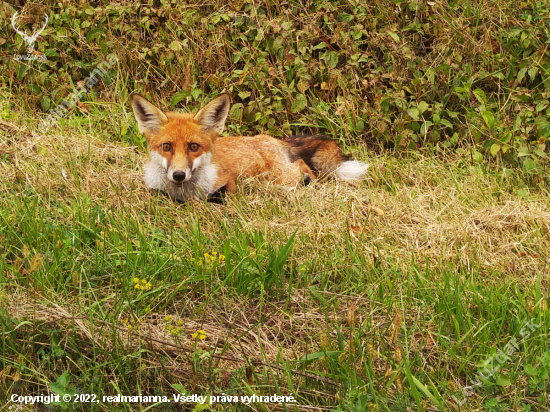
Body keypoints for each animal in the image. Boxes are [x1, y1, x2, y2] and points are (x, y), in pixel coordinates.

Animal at [130, 93, 370, 203]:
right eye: (167, 146)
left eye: (194, 147)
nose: (179, 174)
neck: (183, 193)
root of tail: (273, 139)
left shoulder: (228, 180)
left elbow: (222, 195)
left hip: (279, 177)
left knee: (302, 167)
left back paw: (308, 181)